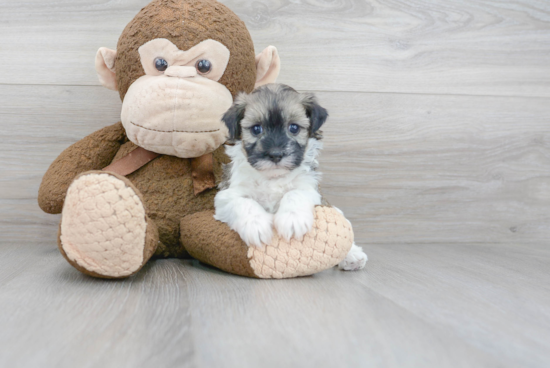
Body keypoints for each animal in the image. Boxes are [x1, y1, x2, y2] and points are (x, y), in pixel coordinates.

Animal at [213, 85, 368, 272]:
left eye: (293, 128)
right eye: (256, 129)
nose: (275, 154)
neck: (273, 178)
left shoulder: (310, 188)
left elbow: (294, 193)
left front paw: (293, 219)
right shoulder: (226, 195)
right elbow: (243, 202)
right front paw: (256, 225)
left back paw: (353, 255)